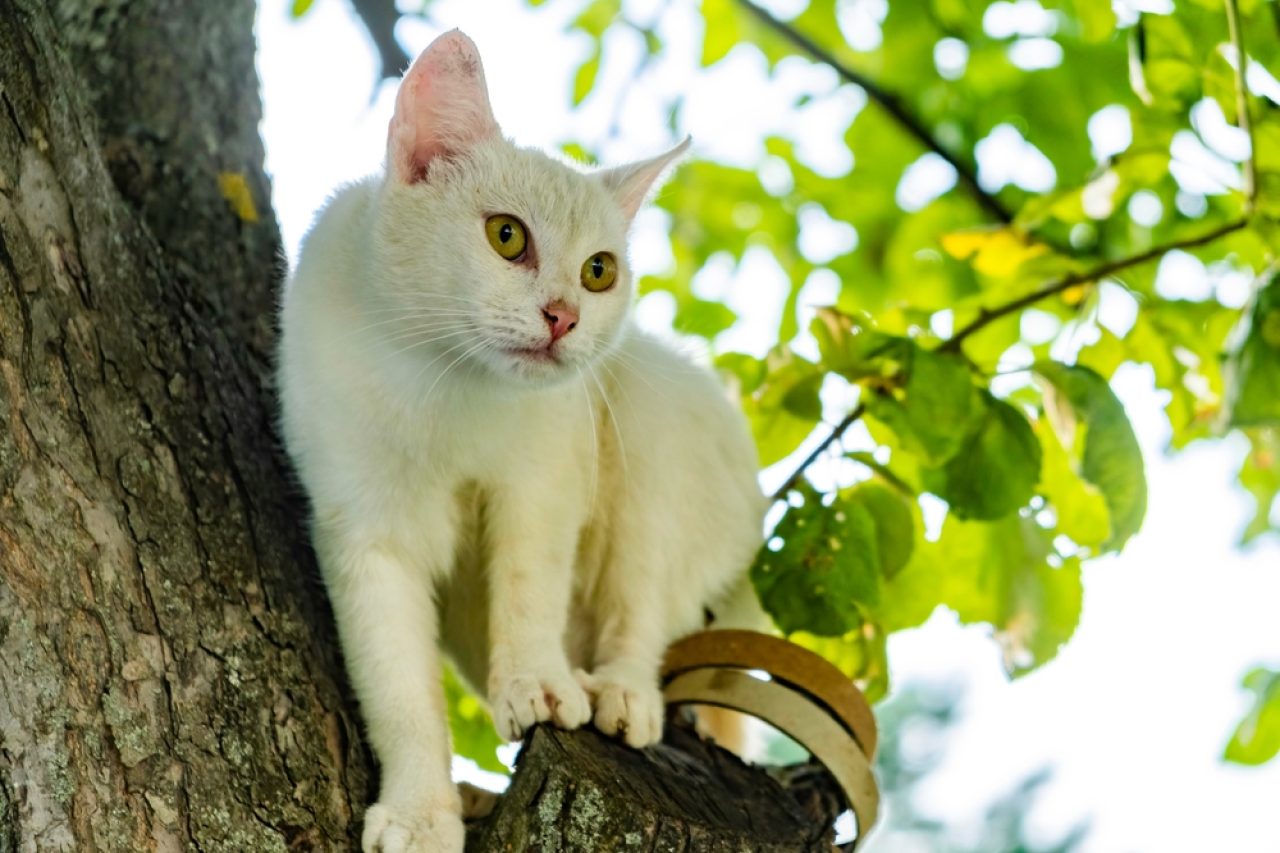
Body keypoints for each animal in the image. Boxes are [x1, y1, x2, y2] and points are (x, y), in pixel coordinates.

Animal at [276, 29, 762, 845]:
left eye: (599, 272)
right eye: (507, 237)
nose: (564, 316)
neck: (443, 383)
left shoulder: (544, 480)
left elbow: (530, 588)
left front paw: (539, 684)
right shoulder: (364, 534)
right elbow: (399, 689)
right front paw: (422, 811)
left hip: (653, 415)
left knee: (642, 608)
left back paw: (618, 693)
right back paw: (477, 797)